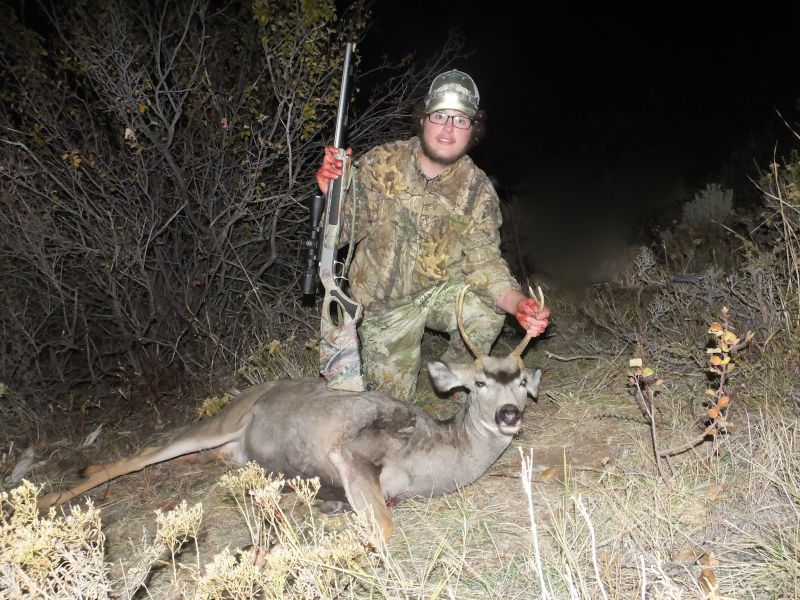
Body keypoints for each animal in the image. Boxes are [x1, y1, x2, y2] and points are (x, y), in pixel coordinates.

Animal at [37, 286, 544, 542]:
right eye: (478, 384)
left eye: (522, 383)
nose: (509, 415)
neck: (429, 455)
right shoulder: (353, 451)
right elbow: (383, 527)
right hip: (220, 422)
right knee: (138, 456)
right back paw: (45, 500)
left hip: (225, 450)